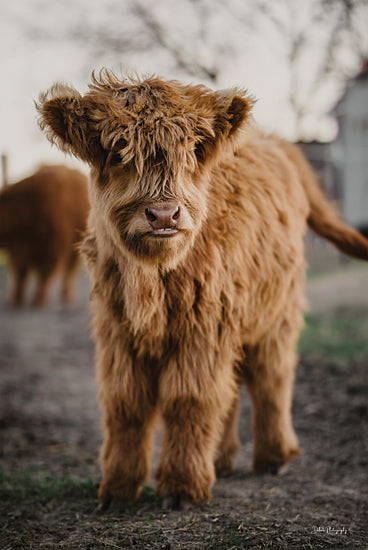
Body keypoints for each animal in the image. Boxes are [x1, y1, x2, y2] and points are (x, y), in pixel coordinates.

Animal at [0, 166, 90, 308]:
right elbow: (20, 275)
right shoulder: (18, 251)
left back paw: (67, 295)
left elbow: (43, 275)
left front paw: (39, 299)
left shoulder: (51, 250)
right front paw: (16, 299)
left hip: (75, 248)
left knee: (68, 272)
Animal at [38, 71, 368, 512]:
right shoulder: (117, 330)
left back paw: (274, 457)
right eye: (118, 151)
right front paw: (118, 488)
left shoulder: (203, 328)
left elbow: (189, 399)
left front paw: (181, 488)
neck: (152, 276)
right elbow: (126, 402)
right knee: (233, 386)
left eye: (193, 150)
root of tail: (277, 142)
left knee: (271, 378)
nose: (164, 214)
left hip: (275, 313)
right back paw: (222, 459)